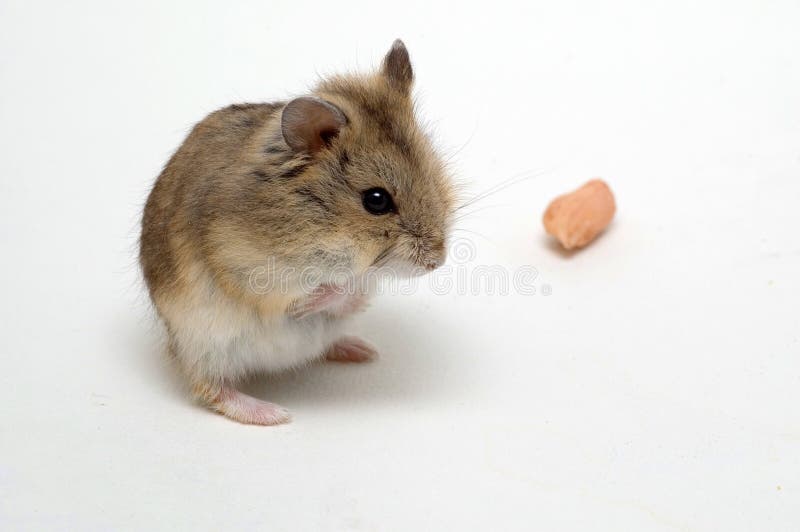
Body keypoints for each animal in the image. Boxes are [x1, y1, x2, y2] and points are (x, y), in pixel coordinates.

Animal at [139, 40, 455, 425]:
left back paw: (362, 350)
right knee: (209, 388)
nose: (437, 262)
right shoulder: (250, 270)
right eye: (376, 200)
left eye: (434, 176)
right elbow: (315, 293)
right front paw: (330, 293)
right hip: (201, 343)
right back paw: (274, 414)